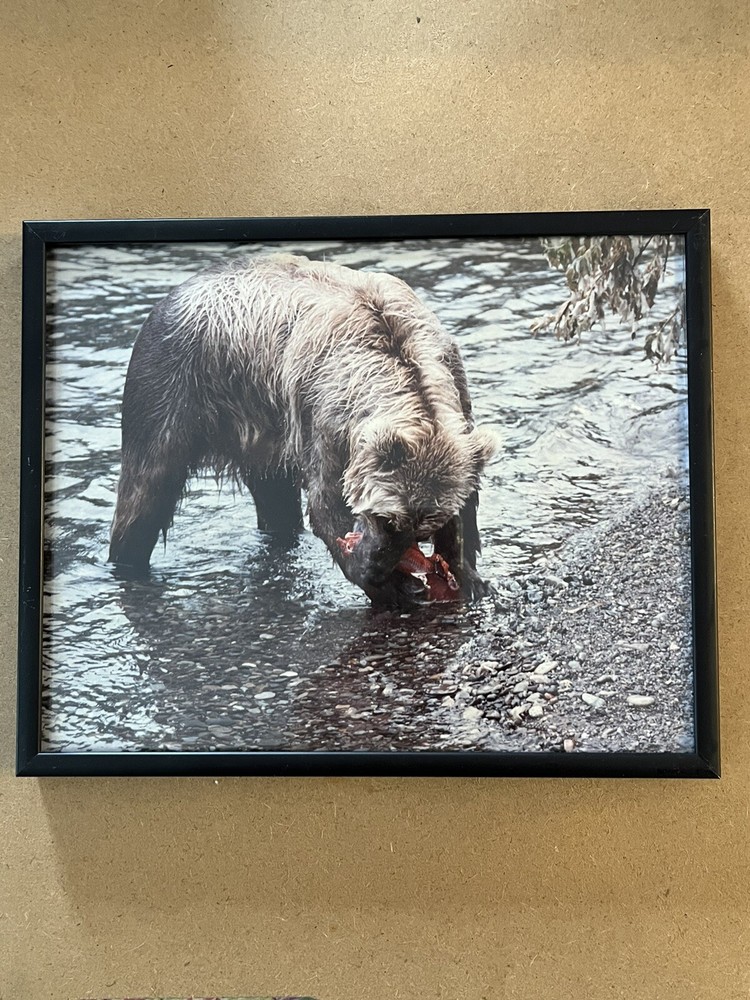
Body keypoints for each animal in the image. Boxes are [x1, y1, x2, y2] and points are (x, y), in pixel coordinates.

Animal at [108, 253, 496, 606]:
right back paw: (126, 563)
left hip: (262, 434)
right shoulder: (324, 419)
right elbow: (327, 505)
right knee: (145, 495)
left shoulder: (456, 389)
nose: (383, 556)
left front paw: (467, 575)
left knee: (277, 505)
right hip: (172, 389)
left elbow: (466, 503)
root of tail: (168, 296)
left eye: (423, 525)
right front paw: (386, 581)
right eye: (387, 520)